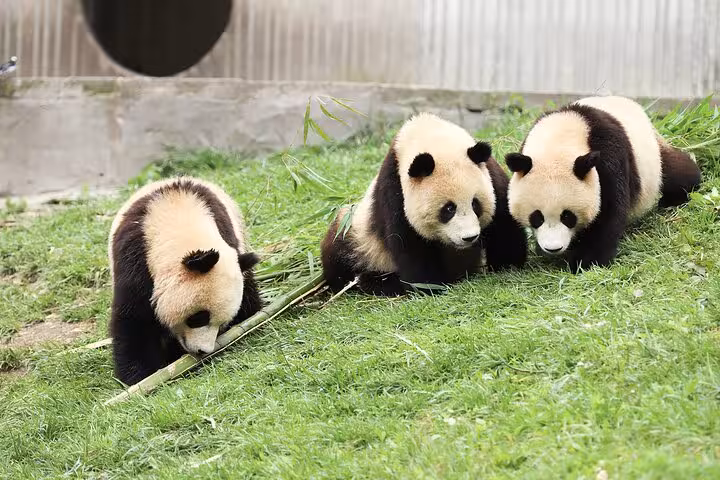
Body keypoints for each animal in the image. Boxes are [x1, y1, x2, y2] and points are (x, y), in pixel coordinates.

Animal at [108, 176, 262, 385]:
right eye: (198, 318)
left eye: (223, 323)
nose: (203, 350)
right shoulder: (134, 259)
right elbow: (134, 320)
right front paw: (142, 376)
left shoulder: (229, 236)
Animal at [321, 112, 527, 295]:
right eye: (448, 209)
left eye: (475, 204)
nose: (469, 238)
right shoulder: (395, 192)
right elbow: (409, 242)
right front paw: (429, 285)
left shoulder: (489, 174)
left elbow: (503, 222)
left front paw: (507, 264)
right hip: (357, 236)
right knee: (339, 258)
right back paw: (376, 282)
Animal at [505, 95, 701, 272]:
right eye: (537, 217)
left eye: (567, 216)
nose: (553, 248)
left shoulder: (608, 157)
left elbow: (609, 210)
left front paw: (587, 261)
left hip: (651, 159)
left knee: (675, 172)